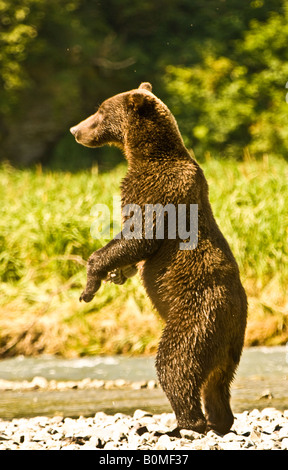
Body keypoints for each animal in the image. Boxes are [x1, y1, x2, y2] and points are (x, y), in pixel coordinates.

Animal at [70, 82, 248, 436]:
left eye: (99, 111)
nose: (74, 130)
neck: (146, 154)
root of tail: (236, 315)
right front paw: (118, 274)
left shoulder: (158, 192)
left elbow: (140, 236)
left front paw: (89, 286)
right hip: (229, 342)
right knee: (217, 383)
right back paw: (220, 421)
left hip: (197, 315)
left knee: (176, 363)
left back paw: (182, 424)